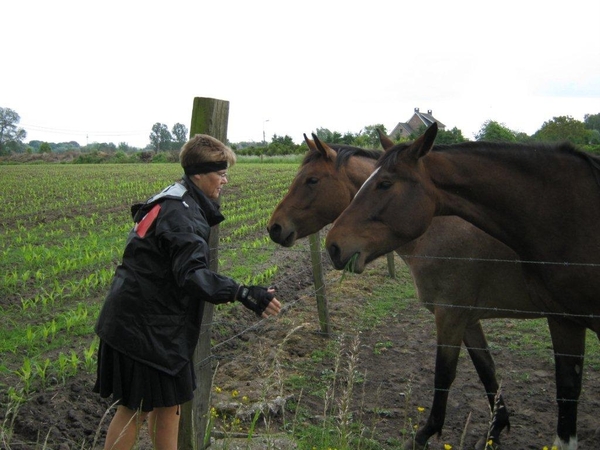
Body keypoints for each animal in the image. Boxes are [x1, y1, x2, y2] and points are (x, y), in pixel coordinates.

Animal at [268, 133, 540, 446]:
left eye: (311, 180)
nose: (274, 228)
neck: (438, 224)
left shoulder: (450, 315)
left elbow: (444, 375)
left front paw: (425, 433)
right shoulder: (468, 319)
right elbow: (486, 370)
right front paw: (495, 430)